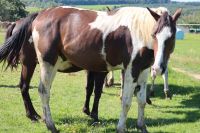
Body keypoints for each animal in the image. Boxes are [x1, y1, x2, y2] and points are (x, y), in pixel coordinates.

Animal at [0, 6, 181, 133]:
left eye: (171, 36)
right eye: (154, 34)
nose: (159, 67)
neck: (138, 32)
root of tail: (40, 14)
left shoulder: (142, 71)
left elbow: (141, 101)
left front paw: (142, 126)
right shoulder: (130, 70)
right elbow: (126, 101)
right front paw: (120, 128)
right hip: (45, 64)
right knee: (42, 91)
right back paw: (50, 125)